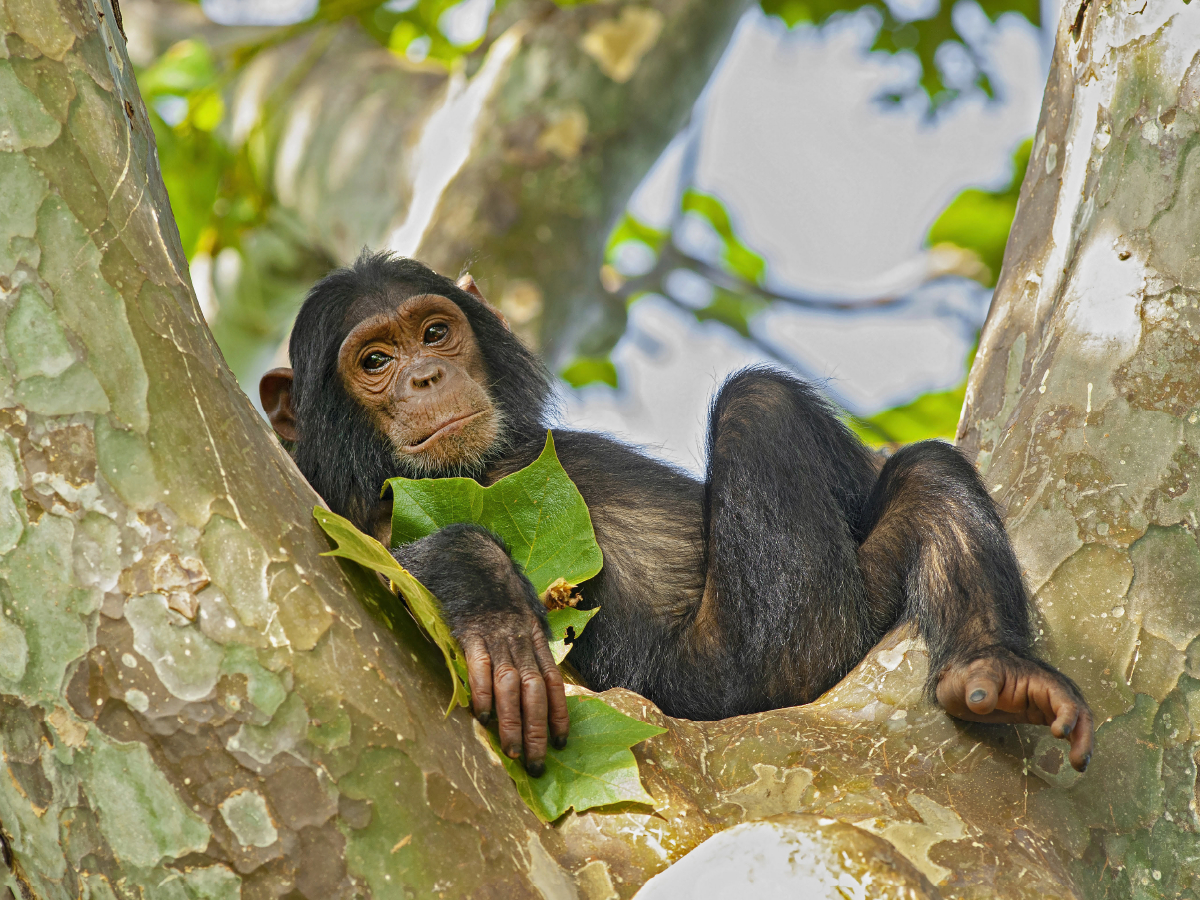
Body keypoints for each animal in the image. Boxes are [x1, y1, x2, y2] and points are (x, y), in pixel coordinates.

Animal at [258, 250, 1094, 777]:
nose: (427, 375)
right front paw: (493, 609)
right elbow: (371, 560)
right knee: (760, 404)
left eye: (435, 331)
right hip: (764, 667)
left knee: (922, 476)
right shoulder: (350, 515)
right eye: (375, 361)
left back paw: (996, 668)